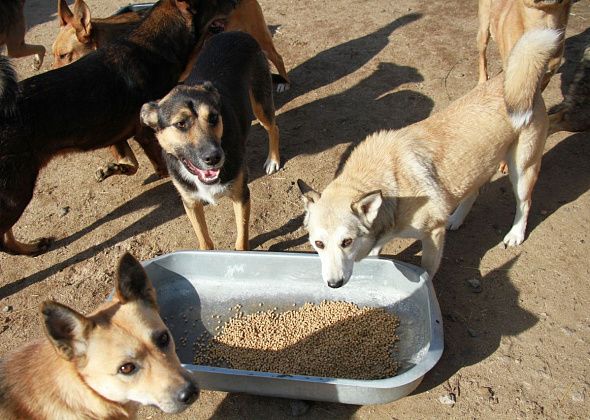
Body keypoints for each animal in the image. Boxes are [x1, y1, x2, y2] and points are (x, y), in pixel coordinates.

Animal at [0, 0, 237, 256]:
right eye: (215, 2)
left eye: (63, 55)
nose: (236, 4)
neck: (153, 45)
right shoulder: (147, 133)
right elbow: (160, 163)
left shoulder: (115, 133)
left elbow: (131, 163)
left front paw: (113, 168)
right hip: (16, 193)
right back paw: (28, 247)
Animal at [143, 32, 282, 253]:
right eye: (181, 123)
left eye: (214, 117)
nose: (214, 157)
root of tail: (239, 33)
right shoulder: (190, 202)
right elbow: (204, 241)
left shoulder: (241, 195)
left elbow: (242, 241)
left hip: (261, 104)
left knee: (273, 128)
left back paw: (273, 160)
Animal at [298, 27, 560, 288]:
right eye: (318, 244)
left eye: (346, 242)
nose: (334, 283)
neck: (391, 186)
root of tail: (511, 80)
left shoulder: (432, 234)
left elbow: (426, 270)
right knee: (473, 192)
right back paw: (456, 218)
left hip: (522, 170)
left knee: (524, 203)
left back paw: (515, 234)